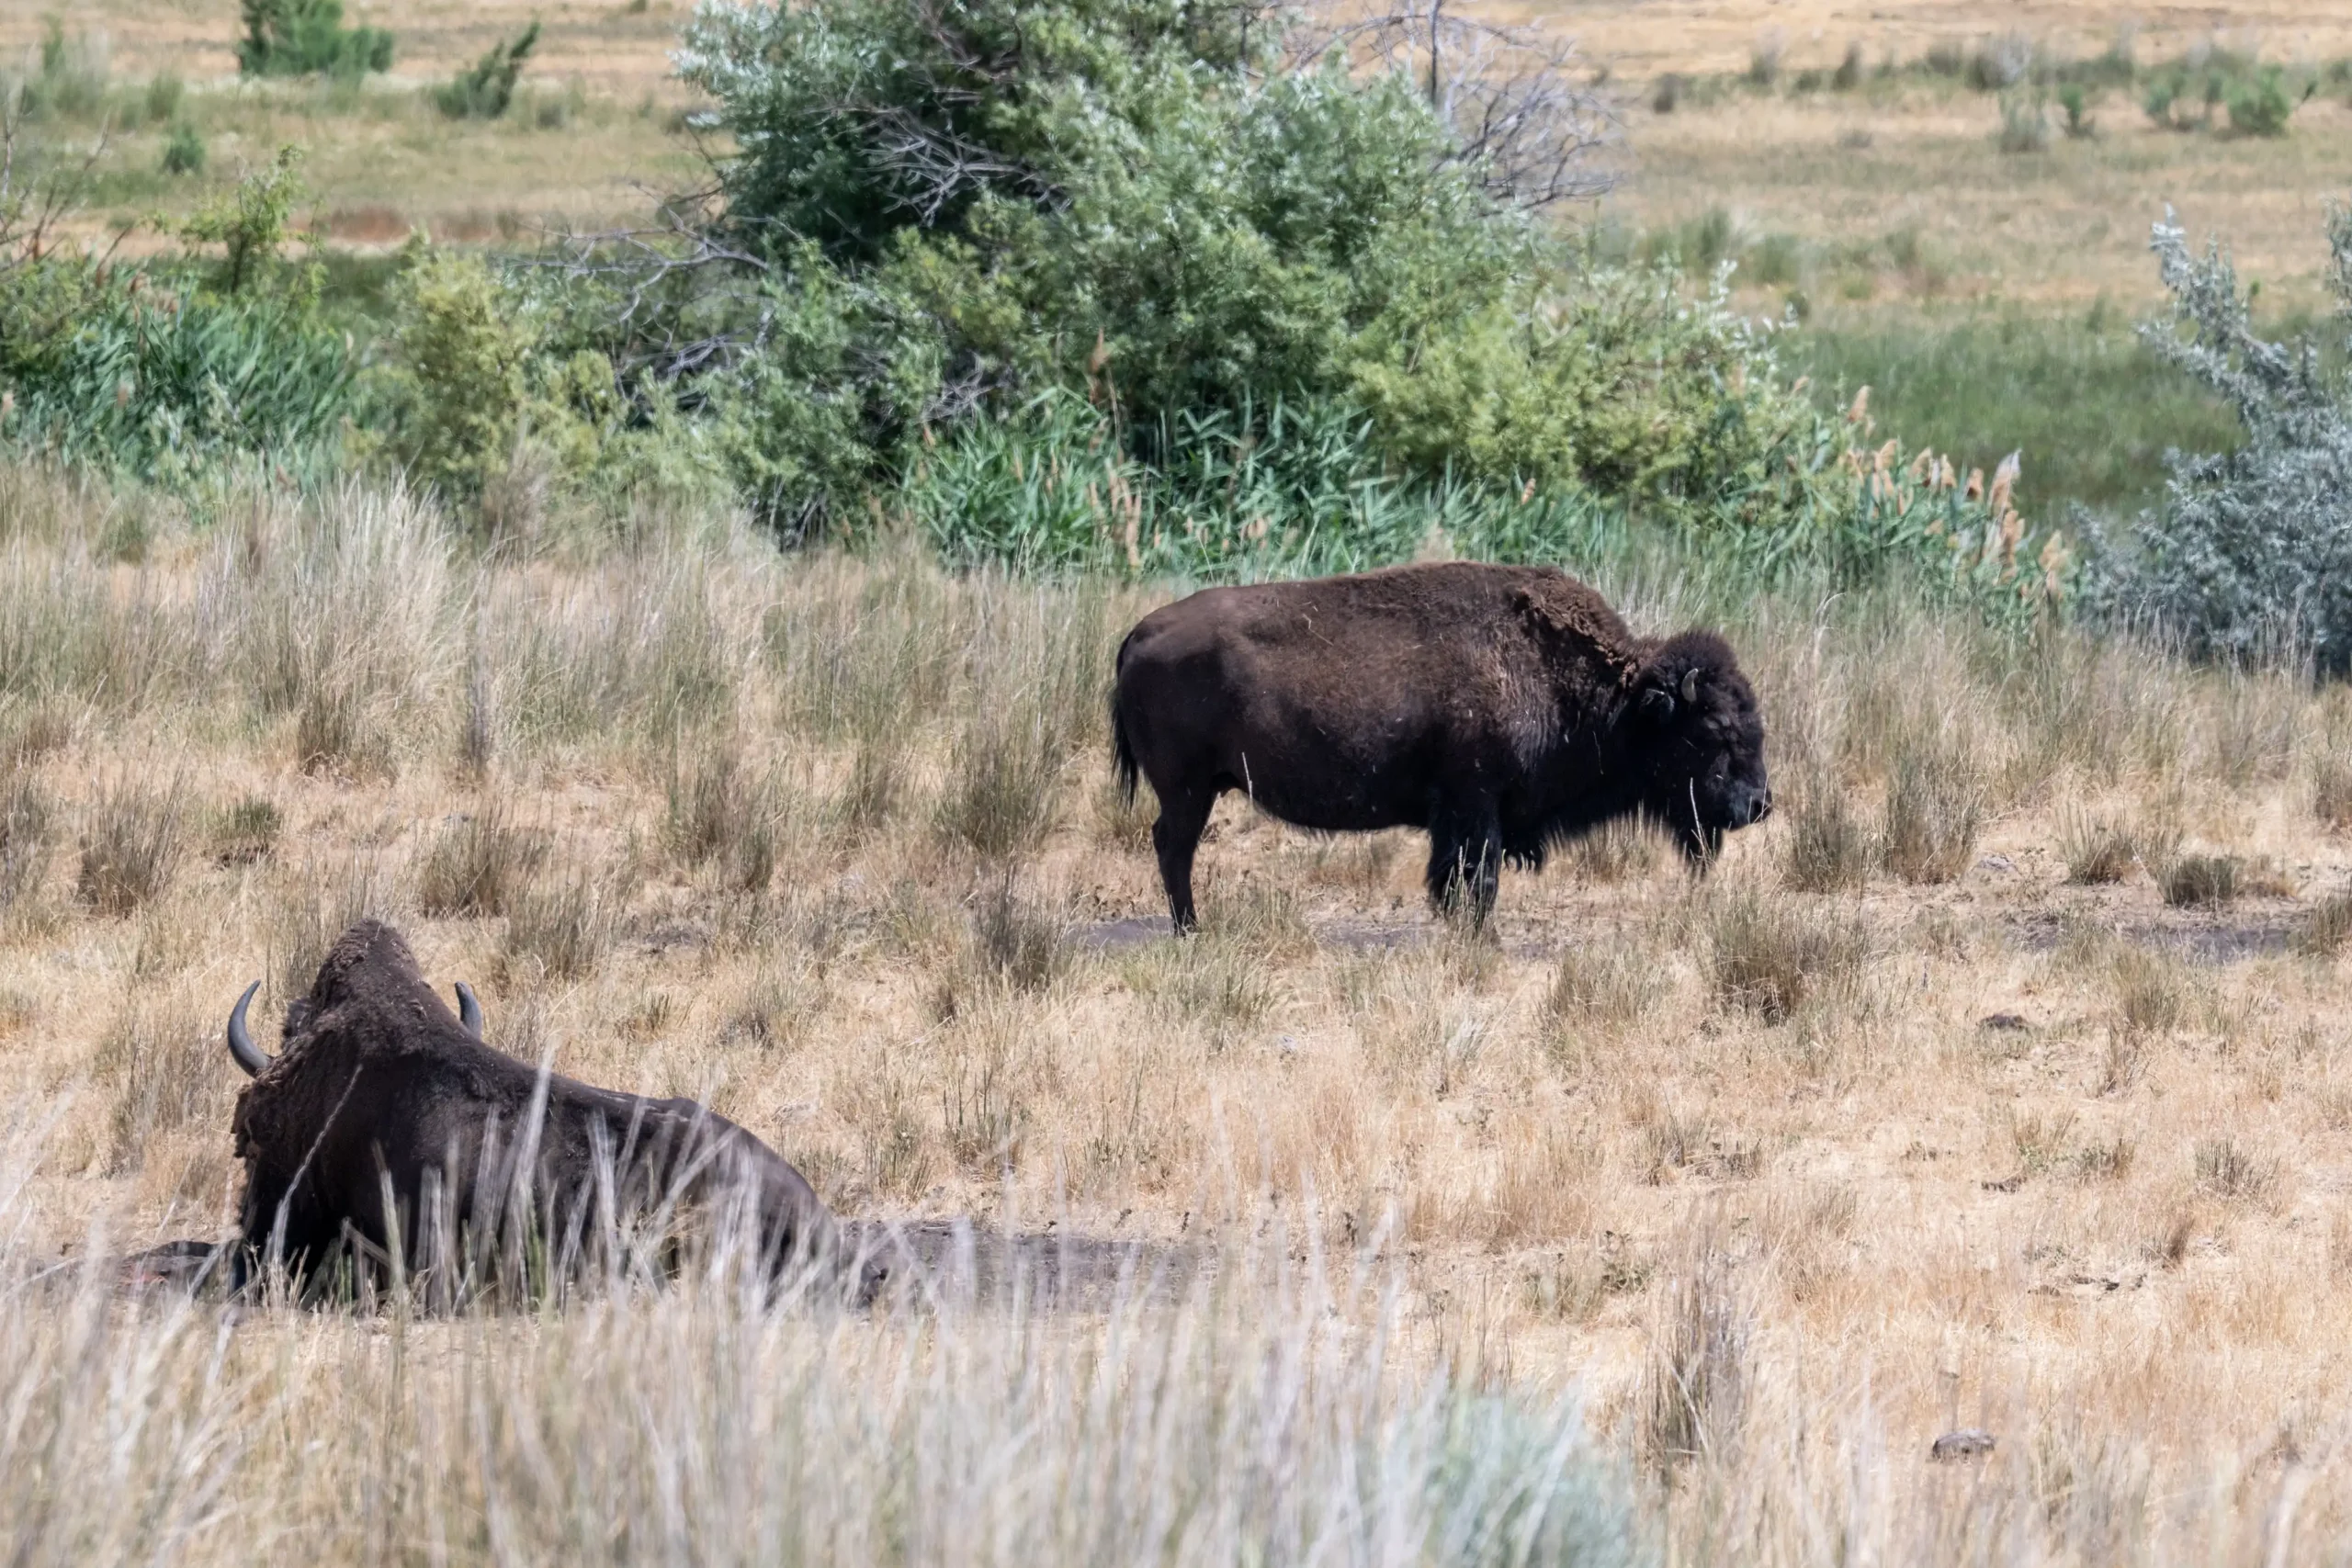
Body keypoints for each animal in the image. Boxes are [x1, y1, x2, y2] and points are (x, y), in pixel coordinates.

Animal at [1110, 561, 1770, 930]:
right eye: (1712, 730)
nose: (1759, 803)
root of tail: (1138, 632)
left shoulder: (1464, 817)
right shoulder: (1475, 807)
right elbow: (1477, 884)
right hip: (1188, 790)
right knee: (1174, 848)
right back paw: (1191, 930)